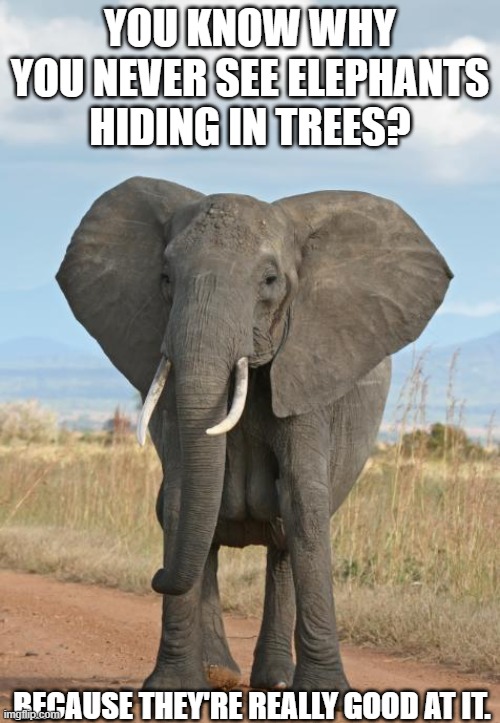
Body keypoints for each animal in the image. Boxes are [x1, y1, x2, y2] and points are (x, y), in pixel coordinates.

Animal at [57, 177, 452, 693]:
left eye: (269, 281)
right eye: (165, 278)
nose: (156, 576)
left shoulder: (308, 372)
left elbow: (303, 502)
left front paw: (326, 693)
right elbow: (182, 497)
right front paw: (171, 688)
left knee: (283, 539)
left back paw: (275, 682)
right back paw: (220, 673)